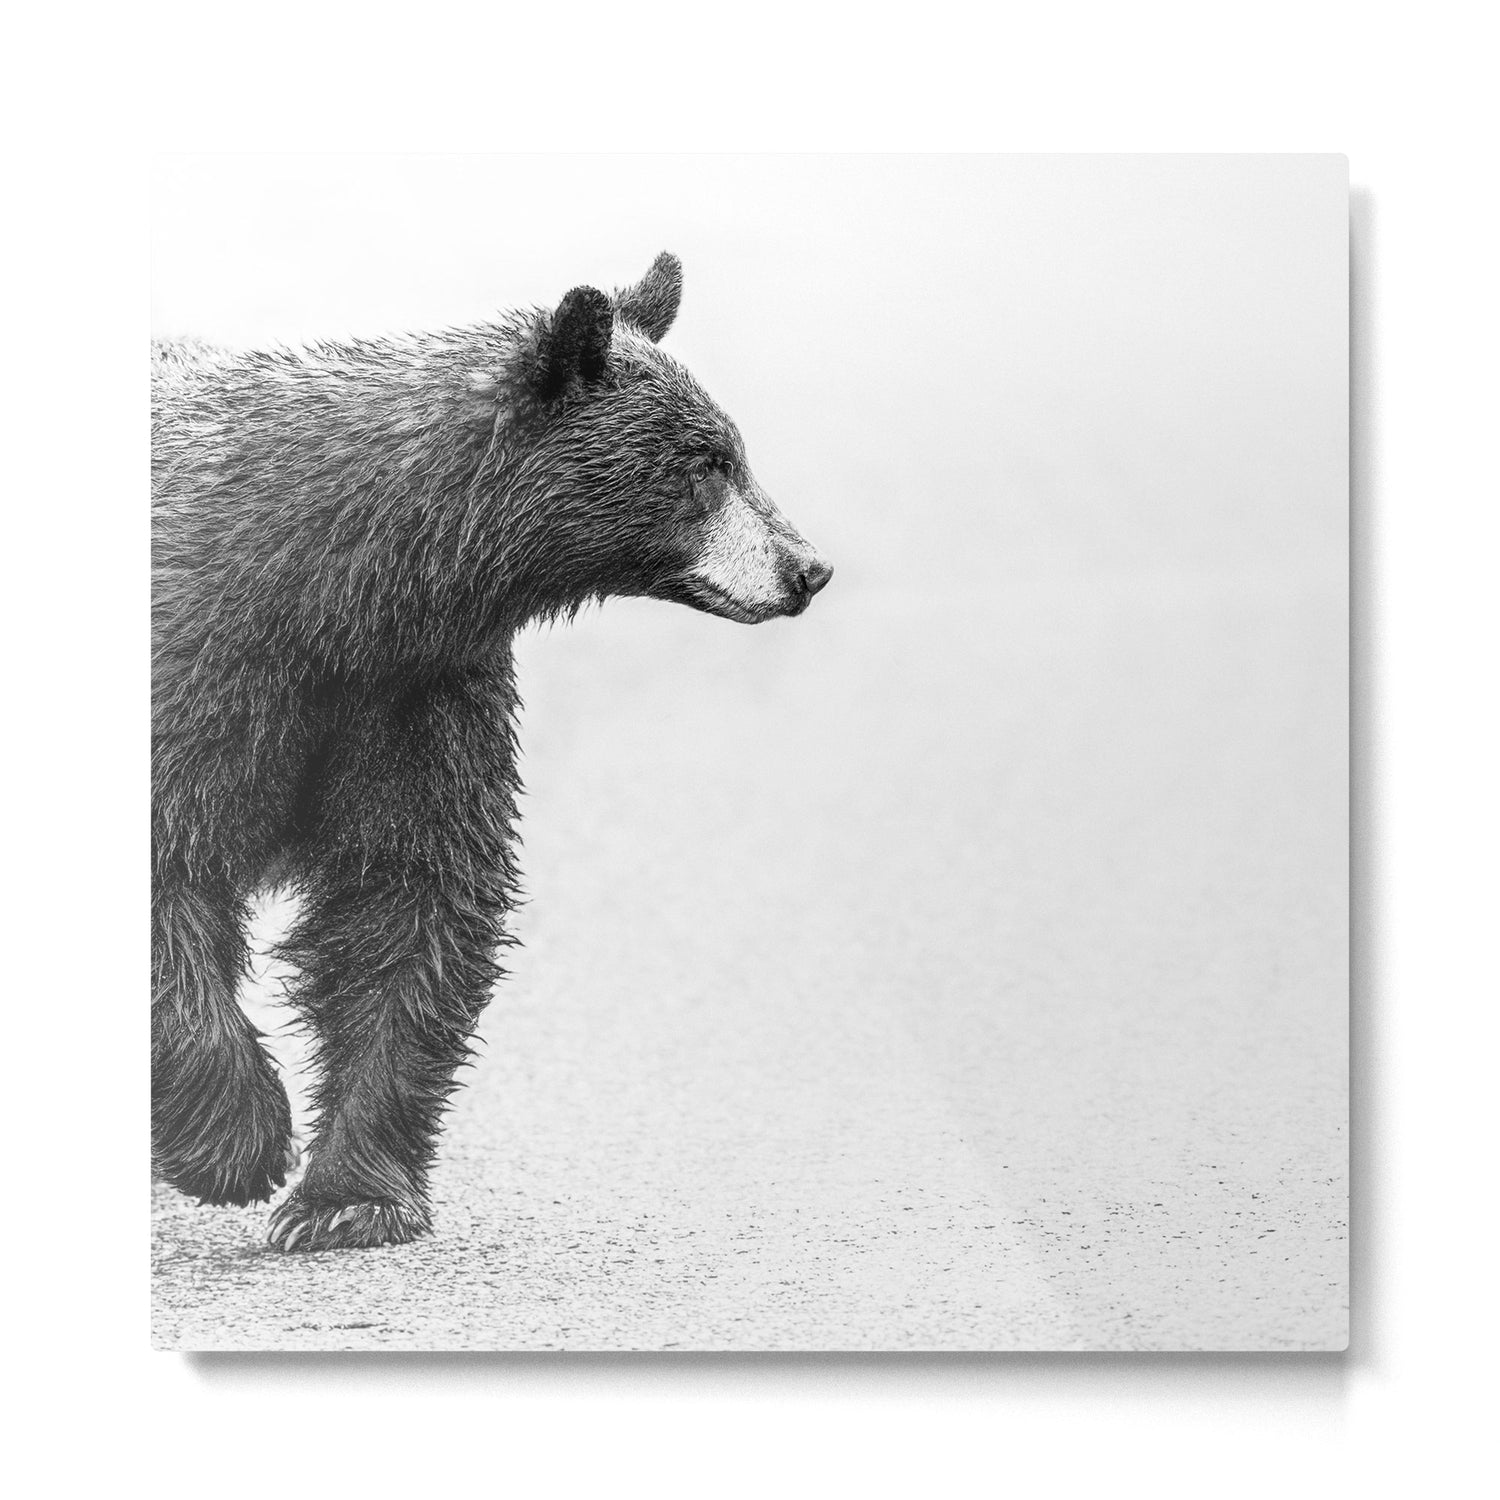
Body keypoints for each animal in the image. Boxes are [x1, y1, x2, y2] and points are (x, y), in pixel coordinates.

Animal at [152, 252, 832, 1253]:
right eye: (704, 467)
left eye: (737, 454)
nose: (807, 568)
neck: (340, 595)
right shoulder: (209, 672)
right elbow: (170, 877)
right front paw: (236, 1143)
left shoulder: (412, 694)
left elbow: (409, 895)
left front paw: (349, 1197)